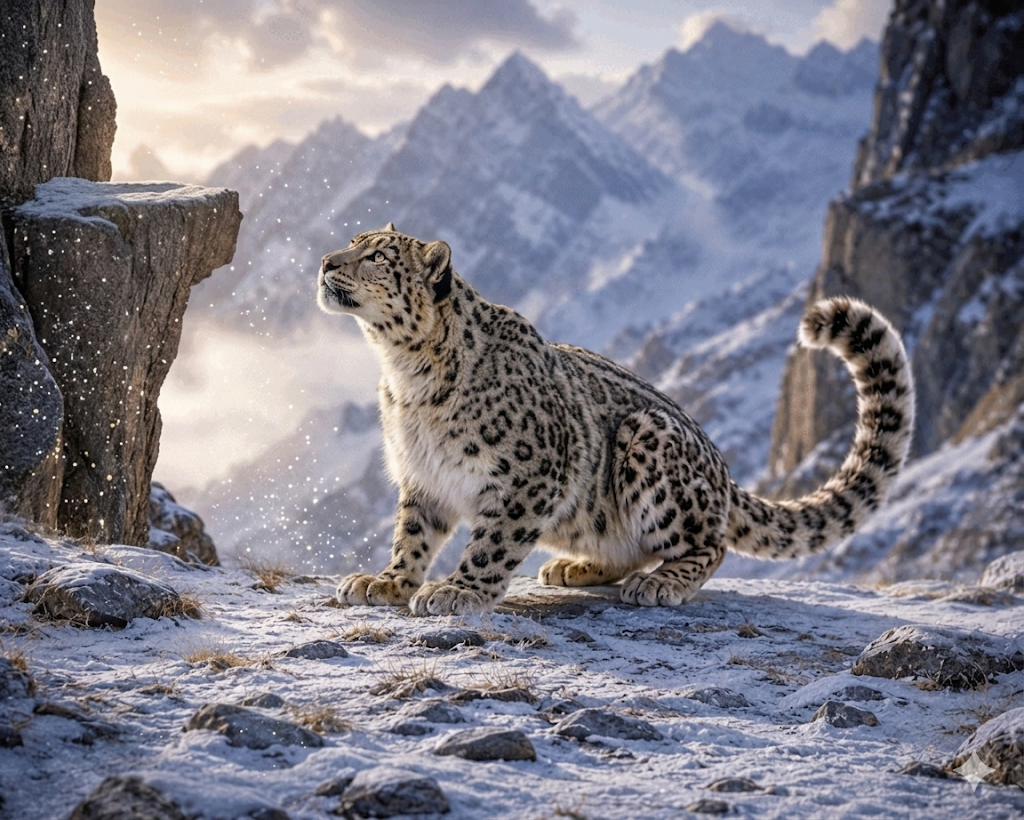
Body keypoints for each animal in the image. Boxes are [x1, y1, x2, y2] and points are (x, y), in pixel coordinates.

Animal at [317, 224, 915, 616]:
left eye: (377, 256)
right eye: (353, 242)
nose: (325, 262)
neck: (406, 377)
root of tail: (724, 476)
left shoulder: (527, 476)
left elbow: (492, 542)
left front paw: (456, 591)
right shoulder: (423, 475)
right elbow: (412, 535)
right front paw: (385, 582)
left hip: (649, 443)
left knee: (708, 543)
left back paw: (660, 584)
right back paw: (573, 568)